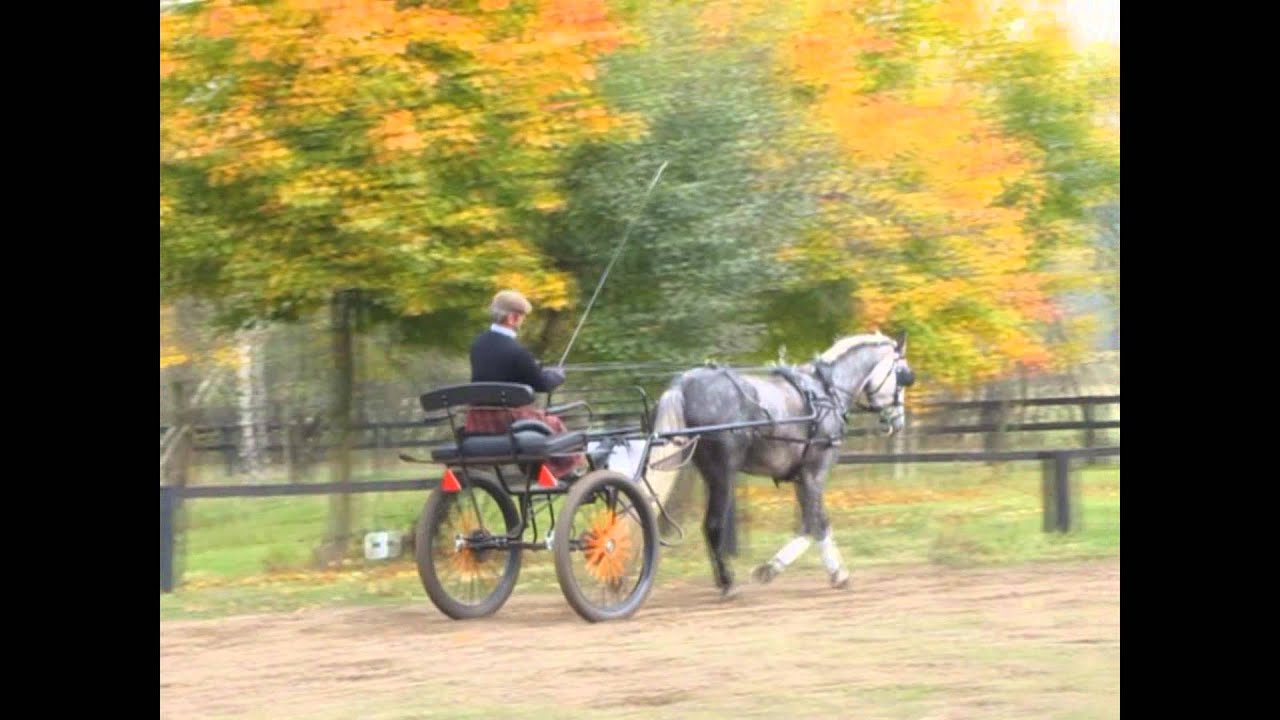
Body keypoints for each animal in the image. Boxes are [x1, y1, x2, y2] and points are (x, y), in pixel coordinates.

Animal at [646, 332, 915, 598]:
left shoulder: (801, 476)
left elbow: (810, 523)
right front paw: (835, 573)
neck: (826, 393)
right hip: (722, 473)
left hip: (710, 473)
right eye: (903, 376)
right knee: (713, 524)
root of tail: (683, 385)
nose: (898, 421)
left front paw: (773, 569)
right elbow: (817, 522)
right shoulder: (815, 471)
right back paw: (727, 582)